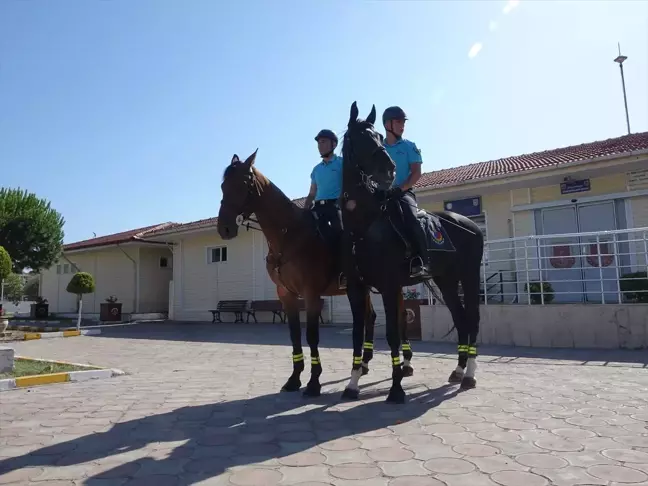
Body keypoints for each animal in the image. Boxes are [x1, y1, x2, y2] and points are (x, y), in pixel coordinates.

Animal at [218, 153, 380, 398]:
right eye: (223, 186)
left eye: (243, 184)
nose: (224, 228)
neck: (289, 237)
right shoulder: (286, 295)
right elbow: (294, 334)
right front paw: (294, 379)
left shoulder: (311, 294)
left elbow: (311, 335)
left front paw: (313, 382)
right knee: (370, 318)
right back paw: (364, 364)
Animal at [342, 101, 484, 402]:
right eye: (360, 138)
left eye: (379, 136)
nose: (389, 169)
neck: (363, 225)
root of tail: (468, 225)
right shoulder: (356, 289)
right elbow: (358, 336)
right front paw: (353, 383)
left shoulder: (388, 286)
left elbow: (394, 334)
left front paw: (396, 389)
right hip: (446, 280)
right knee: (460, 318)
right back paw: (458, 370)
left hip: (468, 276)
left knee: (472, 319)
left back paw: (469, 374)